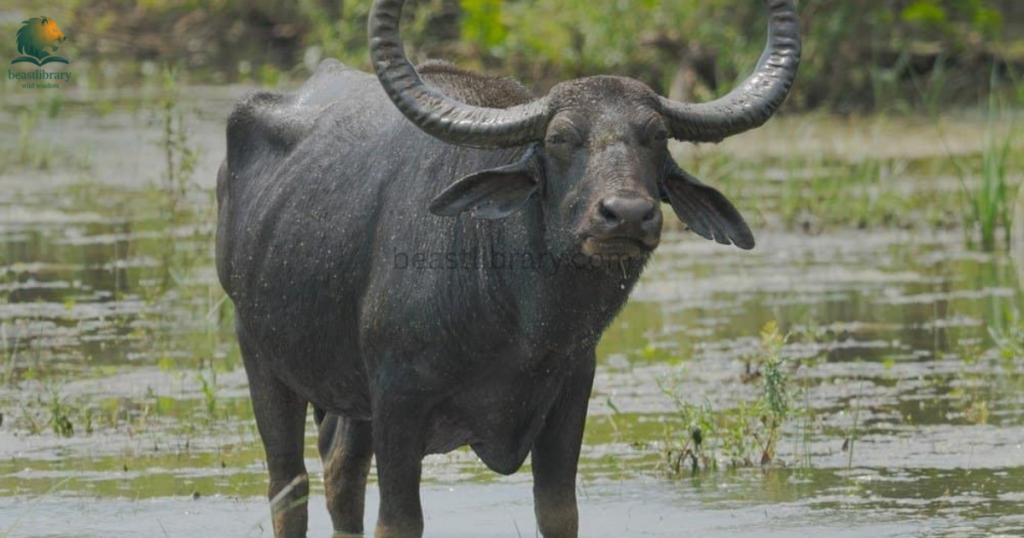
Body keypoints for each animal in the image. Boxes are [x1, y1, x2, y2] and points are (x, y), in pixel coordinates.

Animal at [215, 0, 800, 536]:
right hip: (260, 354)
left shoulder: (570, 393)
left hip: (348, 397)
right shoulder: (398, 404)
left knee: (341, 475)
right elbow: (400, 521)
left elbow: (558, 513)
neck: (520, 324)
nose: (627, 215)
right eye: (560, 139)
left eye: (657, 137)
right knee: (289, 486)